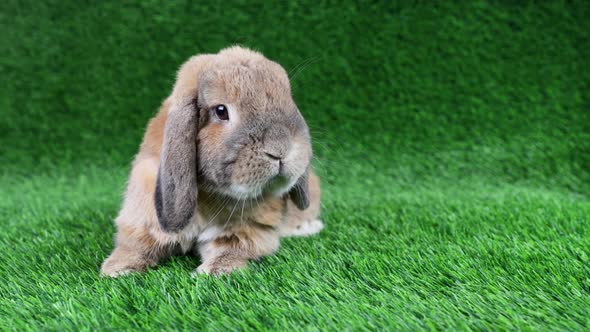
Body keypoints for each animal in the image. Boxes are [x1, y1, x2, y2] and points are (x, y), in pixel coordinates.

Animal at [102, 45, 324, 276]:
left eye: (288, 100)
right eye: (221, 111)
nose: (280, 149)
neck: (209, 195)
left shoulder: (243, 231)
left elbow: (232, 248)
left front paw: (213, 271)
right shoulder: (143, 215)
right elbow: (136, 244)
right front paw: (118, 269)